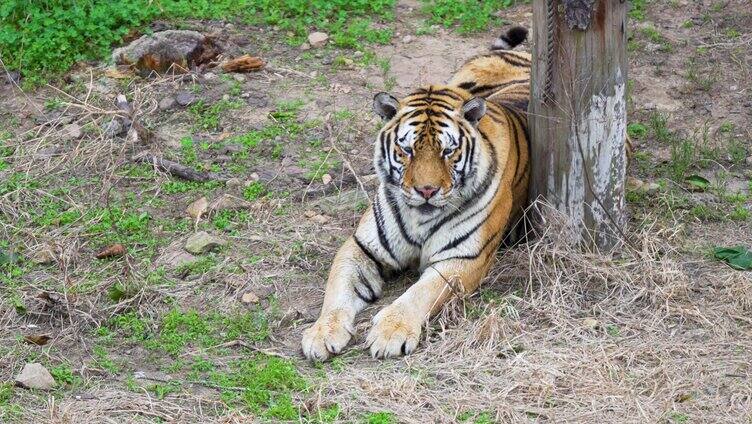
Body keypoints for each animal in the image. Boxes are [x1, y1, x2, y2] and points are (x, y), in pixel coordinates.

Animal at [302, 24, 532, 360]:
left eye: (448, 151)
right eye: (407, 150)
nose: (426, 190)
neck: (419, 218)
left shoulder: (463, 258)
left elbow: (420, 293)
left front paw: (390, 333)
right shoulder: (362, 247)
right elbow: (337, 290)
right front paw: (321, 332)